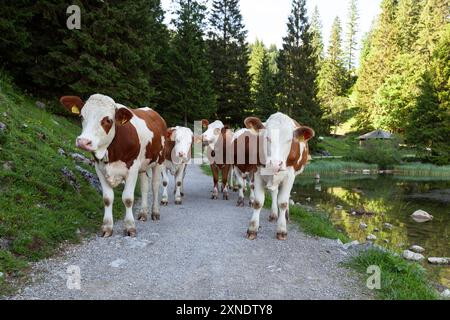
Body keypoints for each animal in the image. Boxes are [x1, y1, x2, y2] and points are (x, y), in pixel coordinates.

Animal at [59, 94, 166, 236]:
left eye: (108, 120)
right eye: (81, 116)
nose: (83, 142)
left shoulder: (132, 169)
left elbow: (128, 199)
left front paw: (130, 227)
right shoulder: (99, 169)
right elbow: (107, 198)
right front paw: (107, 227)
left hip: (159, 161)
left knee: (154, 186)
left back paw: (155, 213)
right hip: (144, 165)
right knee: (144, 187)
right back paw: (143, 213)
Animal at [244, 112, 314, 240]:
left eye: (289, 140)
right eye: (267, 137)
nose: (276, 163)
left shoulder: (290, 175)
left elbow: (283, 202)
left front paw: (281, 230)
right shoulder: (257, 172)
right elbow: (258, 202)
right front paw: (252, 229)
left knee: (285, 197)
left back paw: (286, 215)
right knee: (274, 192)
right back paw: (273, 214)